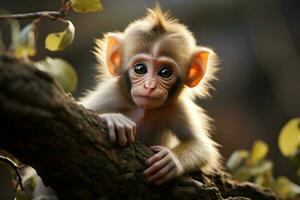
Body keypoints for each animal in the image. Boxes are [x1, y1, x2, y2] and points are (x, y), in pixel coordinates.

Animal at [81, 6, 221, 185]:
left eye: (165, 72)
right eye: (140, 69)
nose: (149, 86)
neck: (143, 109)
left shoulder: (177, 107)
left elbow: (201, 145)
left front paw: (171, 160)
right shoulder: (112, 94)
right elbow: (81, 106)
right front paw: (114, 119)